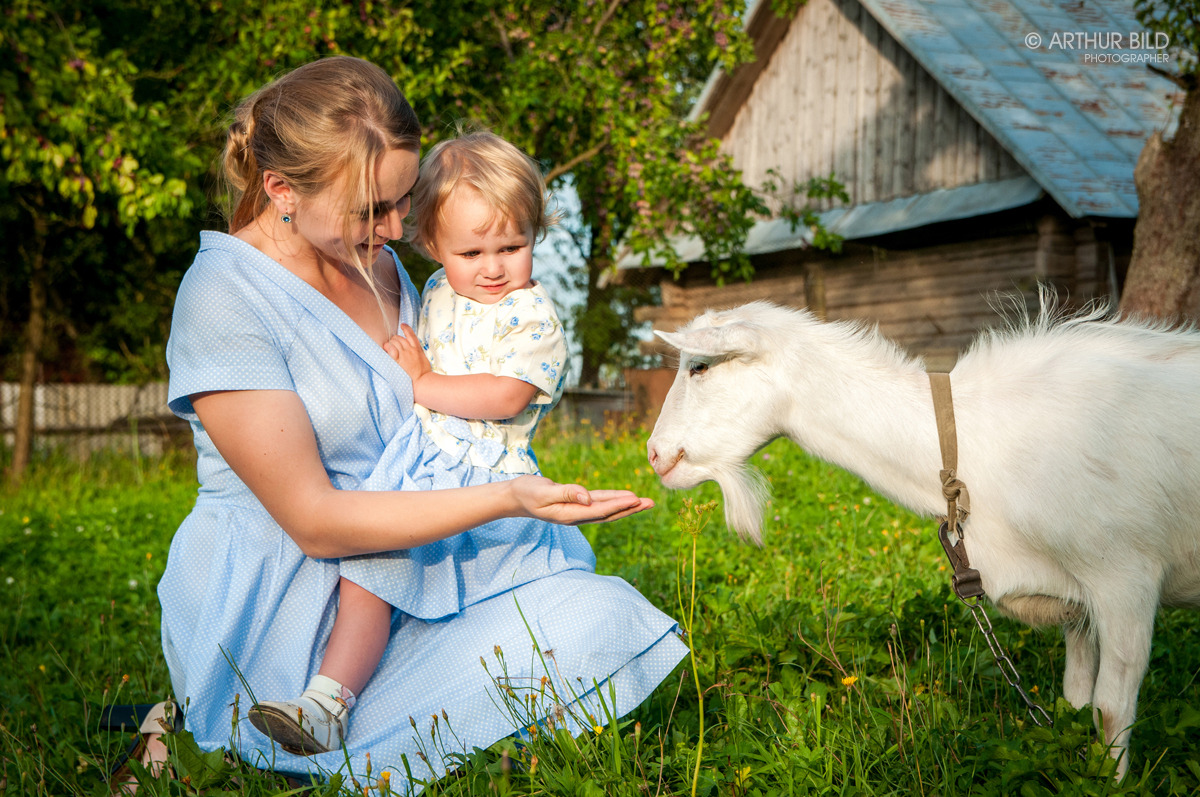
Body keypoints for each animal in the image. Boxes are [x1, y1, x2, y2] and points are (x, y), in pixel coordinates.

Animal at [648, 298, 1200, 777]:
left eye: (699, 367)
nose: (655, 455)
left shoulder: (1124, 577)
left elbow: (1109, 711)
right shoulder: (1078, 603)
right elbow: (1076, 698)